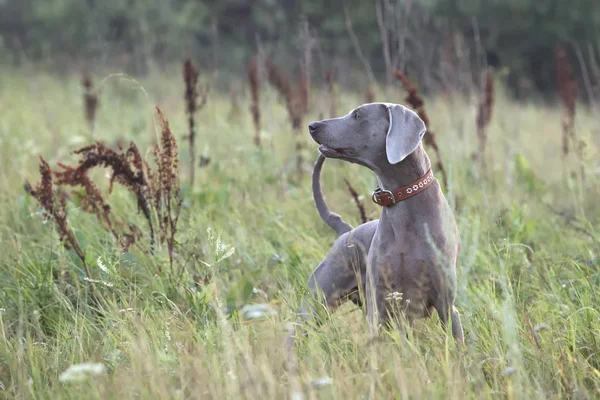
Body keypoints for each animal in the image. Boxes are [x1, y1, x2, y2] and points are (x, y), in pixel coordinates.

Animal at [296, 101, 464, 342]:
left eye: (357, 115)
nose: (313, 125)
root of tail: (346, 232)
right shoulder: (380, 307)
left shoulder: (447, 306)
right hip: (316, 303)